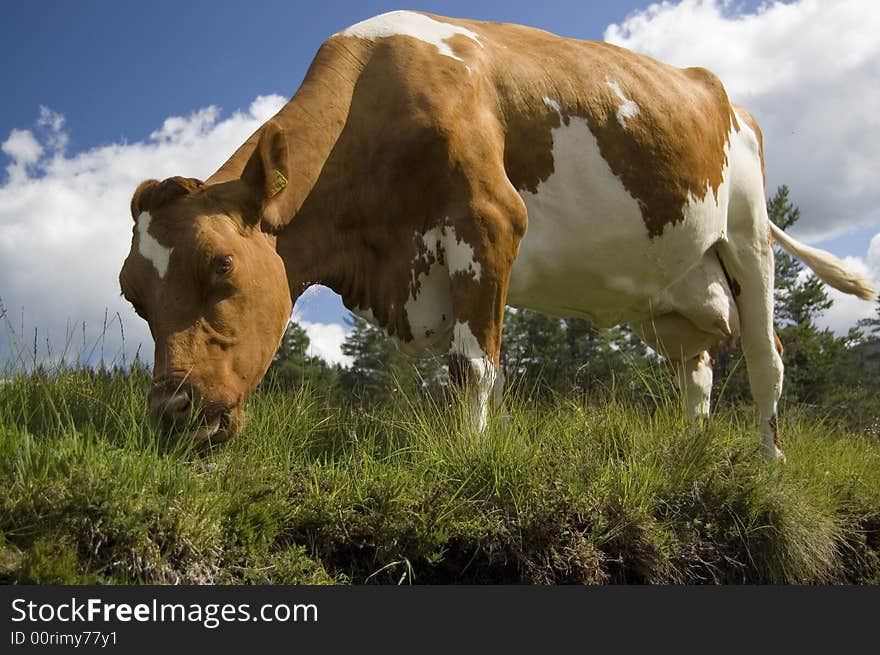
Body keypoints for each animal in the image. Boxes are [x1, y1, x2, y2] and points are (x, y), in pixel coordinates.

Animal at [117, 10, 872, 462]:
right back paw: (688, 451)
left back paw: (770, 463)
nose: (174, 414)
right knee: (698, 366)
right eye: (132, 295)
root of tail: (723, 93)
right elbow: (489, 368)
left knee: (766, 355)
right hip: (672, 291)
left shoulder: (489, 222)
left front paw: (471, 458)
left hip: (747, 235)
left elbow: (471, 366)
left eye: (221, 265)